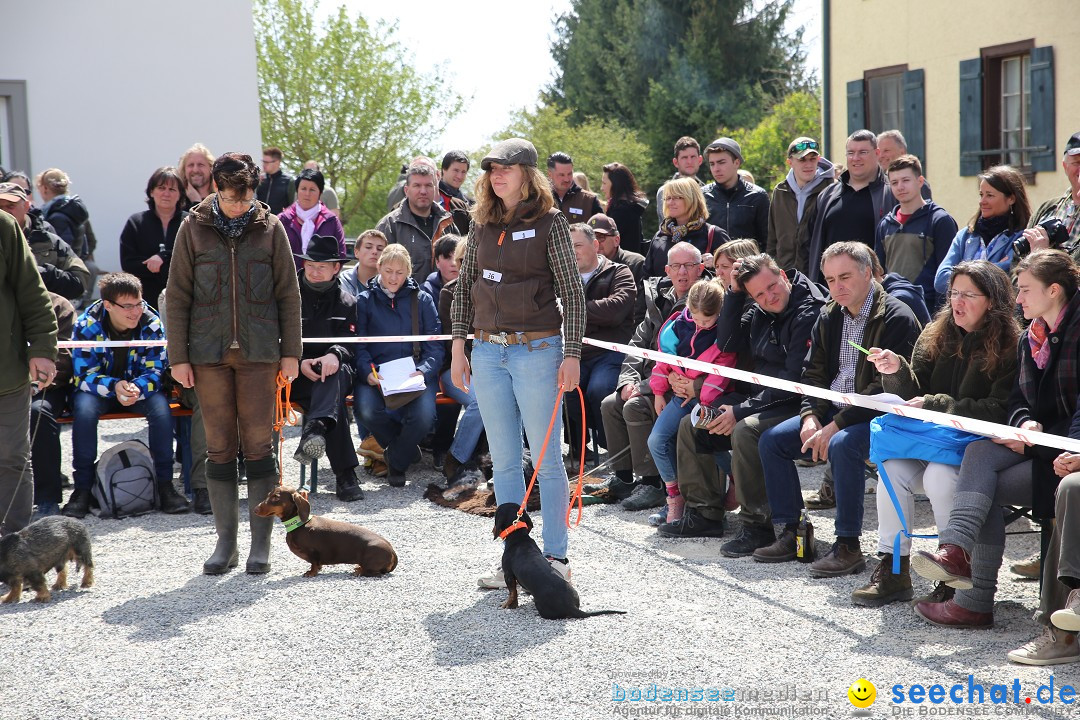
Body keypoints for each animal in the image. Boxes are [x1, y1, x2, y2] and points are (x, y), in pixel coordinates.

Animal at [254, 487, 399, 578]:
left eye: (276, 497)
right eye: (269, 495)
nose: (255, 509)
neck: (300, 525)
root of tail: (392, 551)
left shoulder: (313, 552)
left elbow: (314, 564)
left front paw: (311, 573)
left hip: (370, 560)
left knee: (375, 573)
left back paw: (359, 571)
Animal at [492, 500, 626, 621]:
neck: (519, 537)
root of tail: (571, 606)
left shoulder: (508, 575)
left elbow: (512, 592)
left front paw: (508, 605)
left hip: (542, 607)